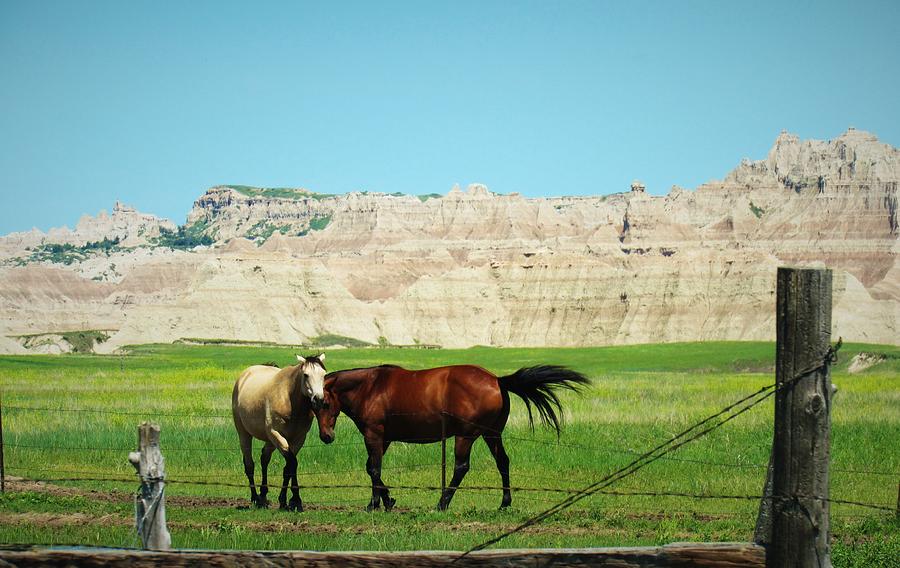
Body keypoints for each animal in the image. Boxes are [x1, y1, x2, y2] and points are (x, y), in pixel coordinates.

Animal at [232, 356, 326, 510]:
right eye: (306, 375)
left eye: (324, 375)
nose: (318, 399)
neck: (289, 399)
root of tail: (243, 376)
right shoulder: (276, 434)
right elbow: (292, 463)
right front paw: (295, 500)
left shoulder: (298, 439)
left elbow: (288, 467)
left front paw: (284, 501)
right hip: (244, 434)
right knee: (249, 464)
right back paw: (255, 497)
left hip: (270, 441)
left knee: (264, 458)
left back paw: (263, 495)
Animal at [312, 366, 588, 512]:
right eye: (312, 405)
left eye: (324, 403)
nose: (326, 437)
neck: (371, 387)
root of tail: (497, 380)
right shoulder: (384, 439)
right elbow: (372, 468)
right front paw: (384, 501)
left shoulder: (374, 435)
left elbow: (374, 469)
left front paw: (378, 503)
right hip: (491, 434)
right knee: (503, 462)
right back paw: (504, 503)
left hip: (465, 436)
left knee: (461, 467)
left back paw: (442, 503)